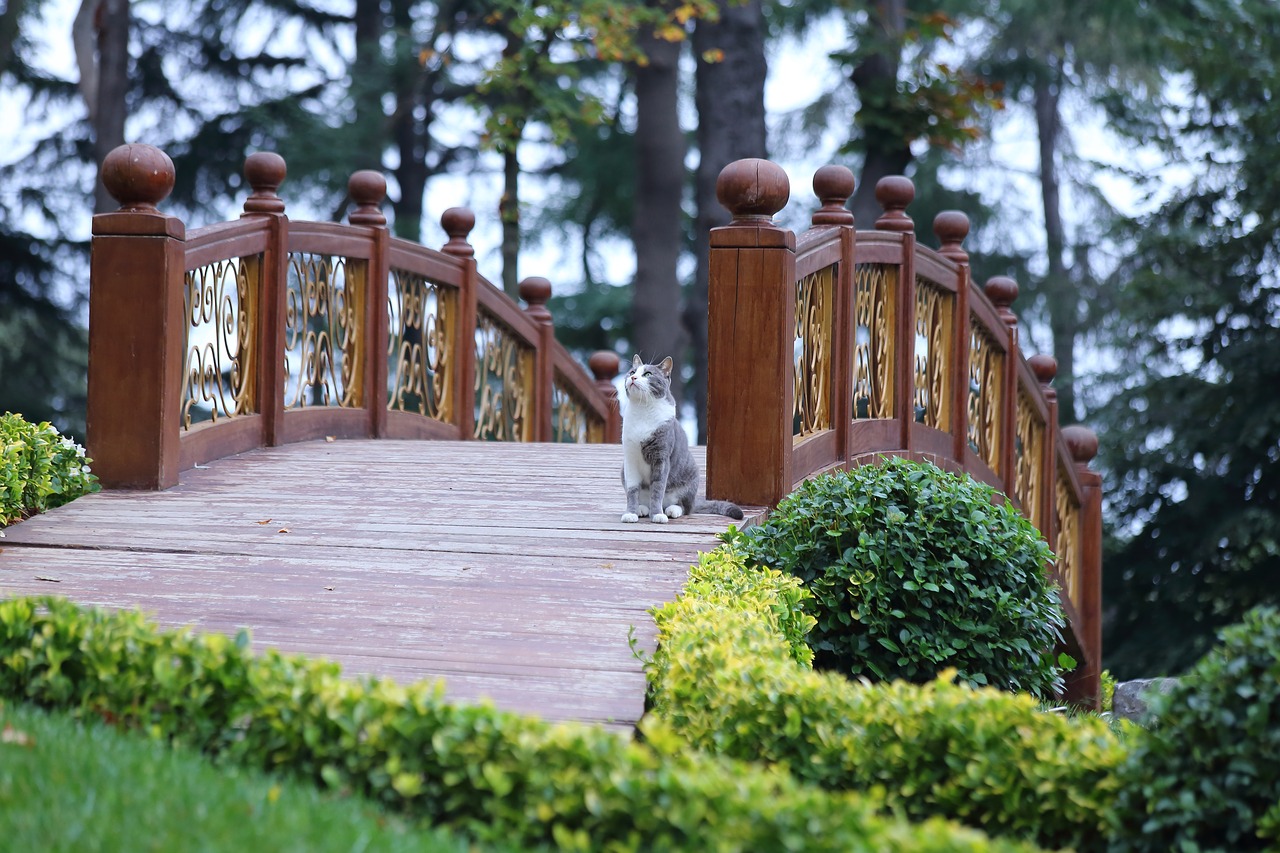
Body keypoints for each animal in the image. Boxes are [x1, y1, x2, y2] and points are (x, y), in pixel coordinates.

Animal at [616, 350, 742, 517]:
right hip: (623, 470)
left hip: (691, 476)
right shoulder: (630, 458)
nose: (633, 378)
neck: (643, 410)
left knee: (685, 507)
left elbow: (657, 489)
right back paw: (641, 508)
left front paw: (657, 515)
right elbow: (632, 489)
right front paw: (630, 513)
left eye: (648, 374)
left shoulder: (662, 456)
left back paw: (671, 510)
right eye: (632, 372)